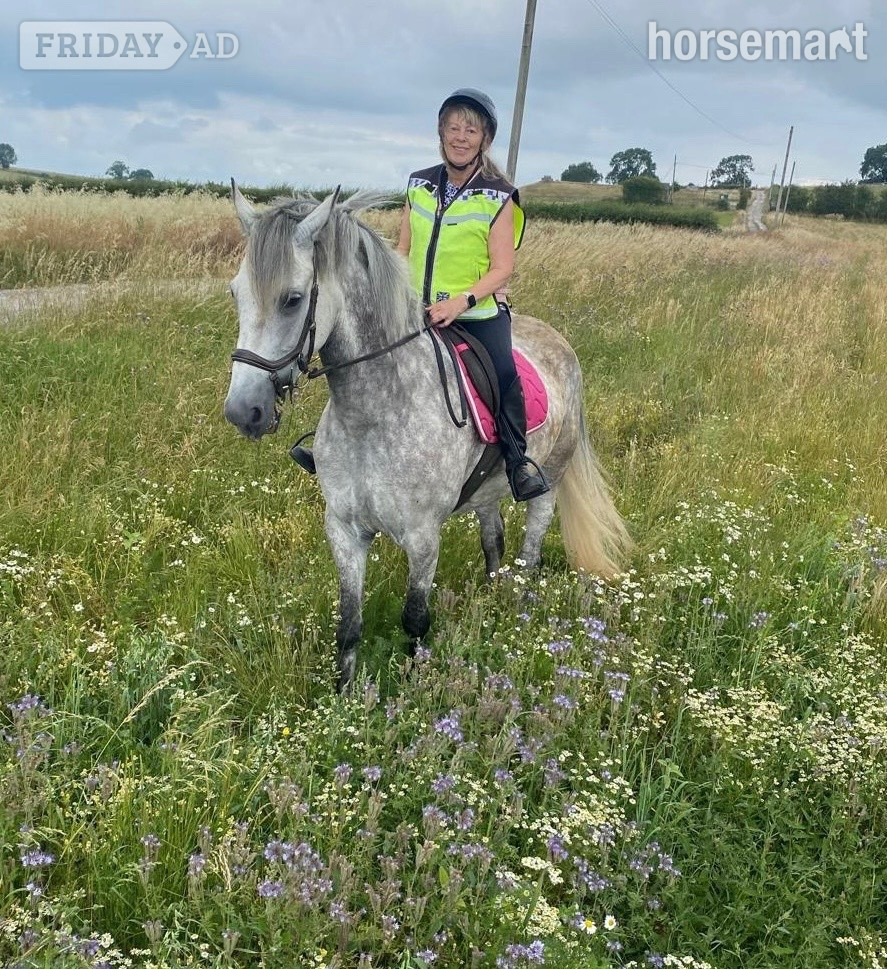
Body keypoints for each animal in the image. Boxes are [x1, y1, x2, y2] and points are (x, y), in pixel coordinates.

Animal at [223, 184, 630, 690]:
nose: (244, 411)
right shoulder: (344, 530)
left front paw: (415, 687)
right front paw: (343, 697)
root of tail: (560, 343)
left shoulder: (422, 537)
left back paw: (517, 617)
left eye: (293, 299)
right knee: (494, 542)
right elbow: (349, 625)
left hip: (548, 484)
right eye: (236, 292)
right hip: (487, 490)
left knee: (530, 553)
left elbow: (415, 618)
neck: (374, 414)